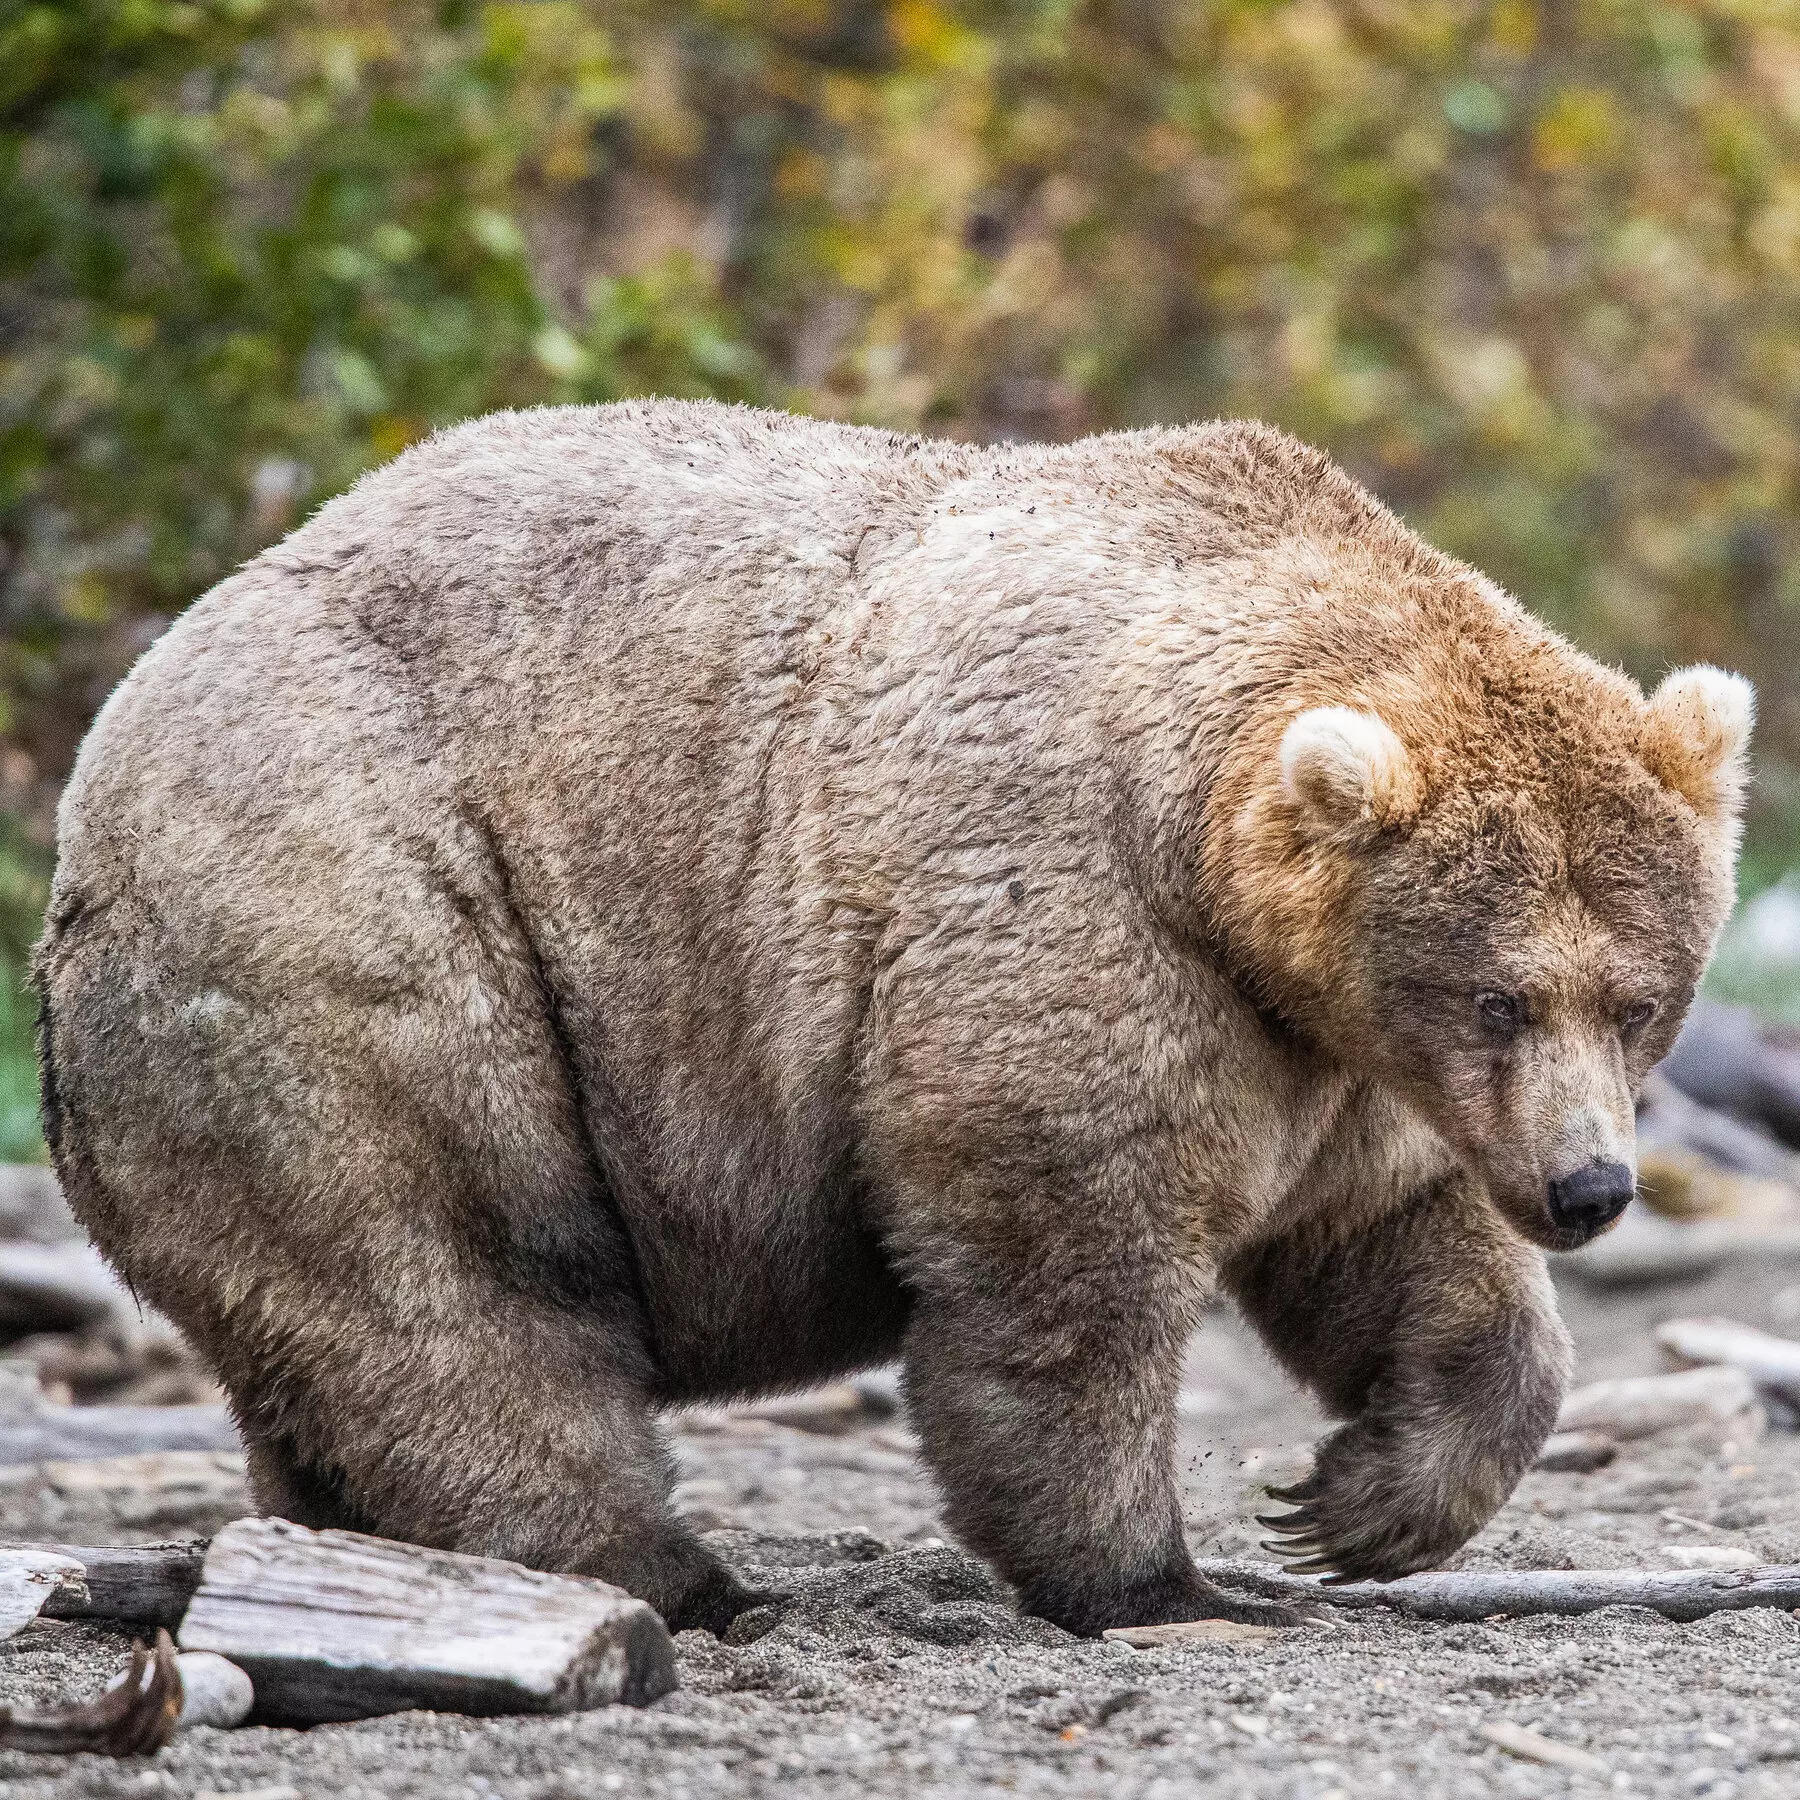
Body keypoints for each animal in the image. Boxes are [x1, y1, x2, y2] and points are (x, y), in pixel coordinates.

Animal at [35, 401, 1749, 1641]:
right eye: (1499, 991)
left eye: (1639, 998)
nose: (1591, 1189)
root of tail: (97, 777)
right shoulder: (1069, 916)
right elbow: (1063, 1263)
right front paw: (1165, 1582)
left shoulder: (1334, 1054)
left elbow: (1396, 1240)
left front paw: (1357, 1504)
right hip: (367, 923)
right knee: (458, 1278)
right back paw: (676, 1576)